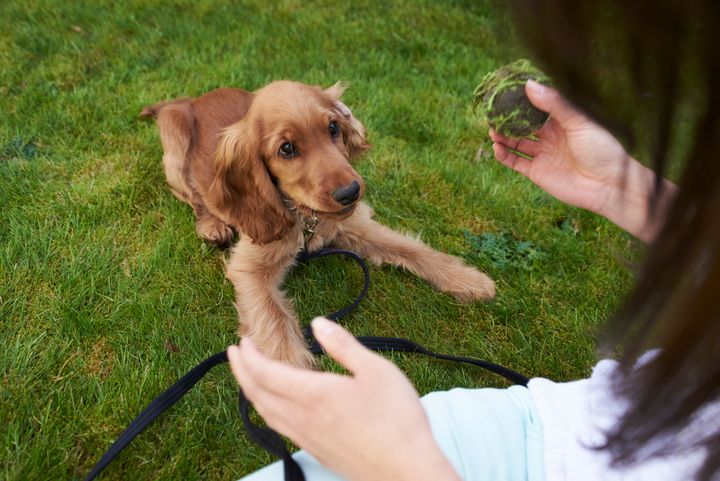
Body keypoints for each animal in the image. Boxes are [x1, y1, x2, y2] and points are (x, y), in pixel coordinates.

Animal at [143, 80, 498, 366]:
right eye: (286, 148)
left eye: (333, 128)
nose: (350, 193)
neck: (305, 216)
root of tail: (190, 100)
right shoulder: (250, 267)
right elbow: (274, 319)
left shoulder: (355, 225)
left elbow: (411, 248)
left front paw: (468, 279)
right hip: (174, 143)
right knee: (195, 197)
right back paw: (211, 225)